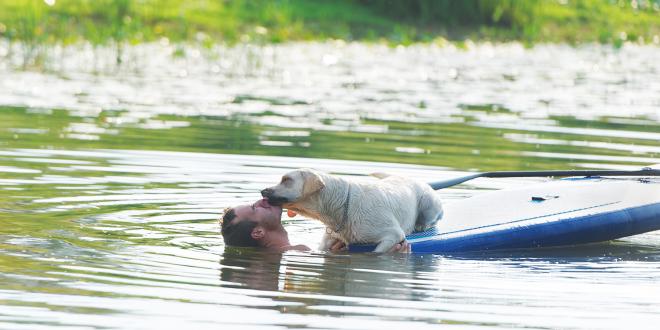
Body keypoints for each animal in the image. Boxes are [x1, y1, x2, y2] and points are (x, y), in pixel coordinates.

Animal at [260, 169, 444, 251]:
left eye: (286, 179)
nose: (262, 190)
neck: (343, 206)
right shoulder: (327, 242)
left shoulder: (392, 235)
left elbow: (377, 252)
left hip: (428, 203)